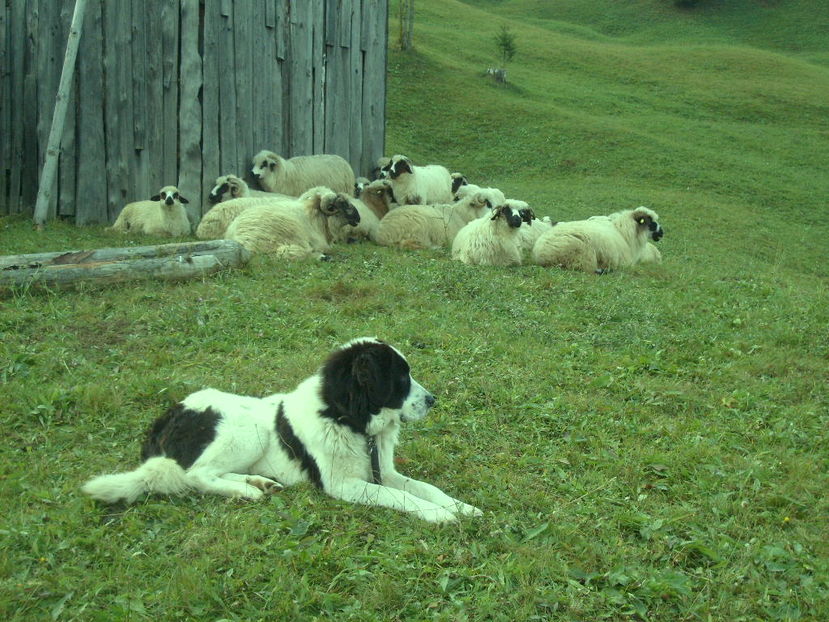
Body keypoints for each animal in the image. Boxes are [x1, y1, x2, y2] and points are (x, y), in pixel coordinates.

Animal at [81, 338, 482, 524]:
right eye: (401, 379)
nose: (432, 400)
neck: (348, 419)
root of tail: (169, 415)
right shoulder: (344, 485)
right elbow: (402, 497)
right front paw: (439, 515)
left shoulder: (382, 471)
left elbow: (425, 488)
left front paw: (461, 507)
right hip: (248, 430)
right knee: (196, 474)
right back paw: (247, 492)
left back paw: (258, 483)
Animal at [532, 207, 668, 272]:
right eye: (652, 223)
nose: (662, 232)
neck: (624, 233)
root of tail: (540, 255)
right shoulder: (625, 263)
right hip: (582, 254)